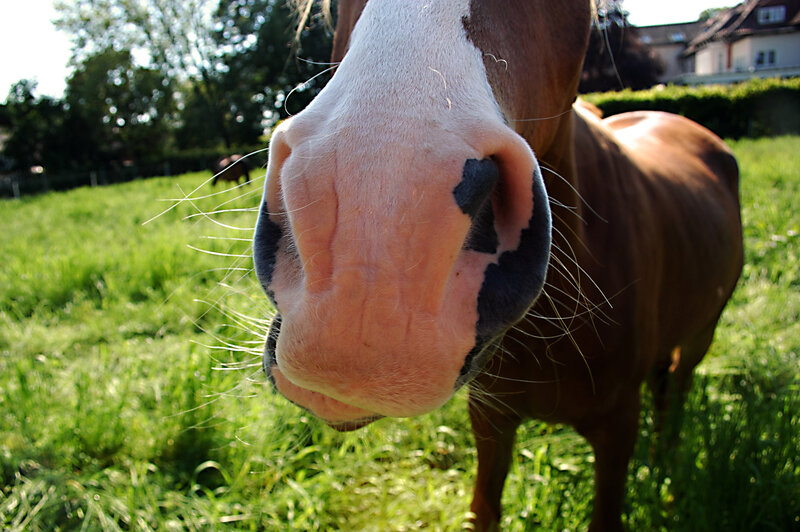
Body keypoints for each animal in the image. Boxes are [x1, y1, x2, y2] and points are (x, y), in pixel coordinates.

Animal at [252, 1, 743, 530]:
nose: (371, 277)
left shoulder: (617, 427)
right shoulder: (490, 420)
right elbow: (485, 507)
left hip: (701, 336)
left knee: (677, 388)